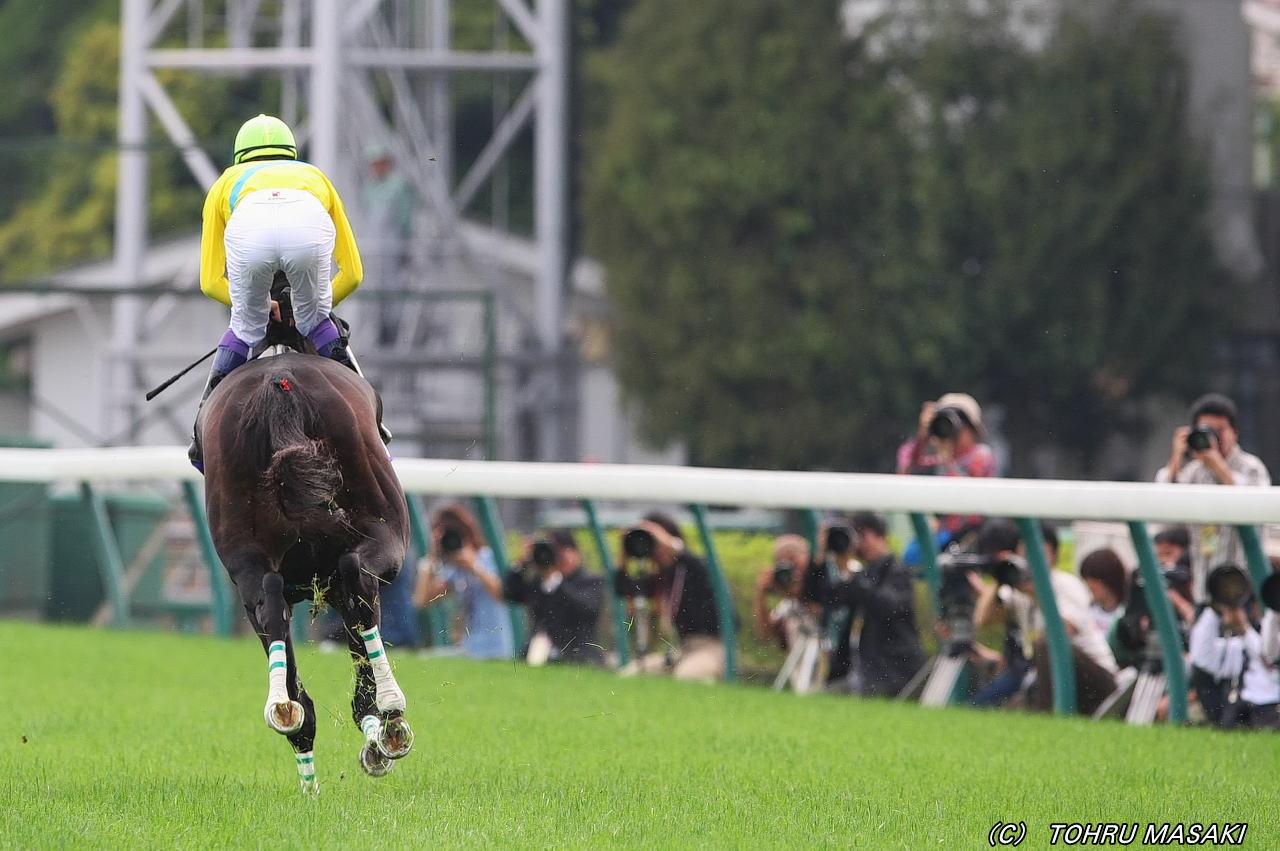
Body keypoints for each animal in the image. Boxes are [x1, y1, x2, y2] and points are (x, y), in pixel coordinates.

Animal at [197, 327, 413, 793]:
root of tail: (280, 386)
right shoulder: (349, 575)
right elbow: (358, 630)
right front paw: (376, 733)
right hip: (382, 532)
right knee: (356, 577)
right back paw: (390, 716)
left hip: (246, 559)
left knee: (270, 601)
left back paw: (288, 717)